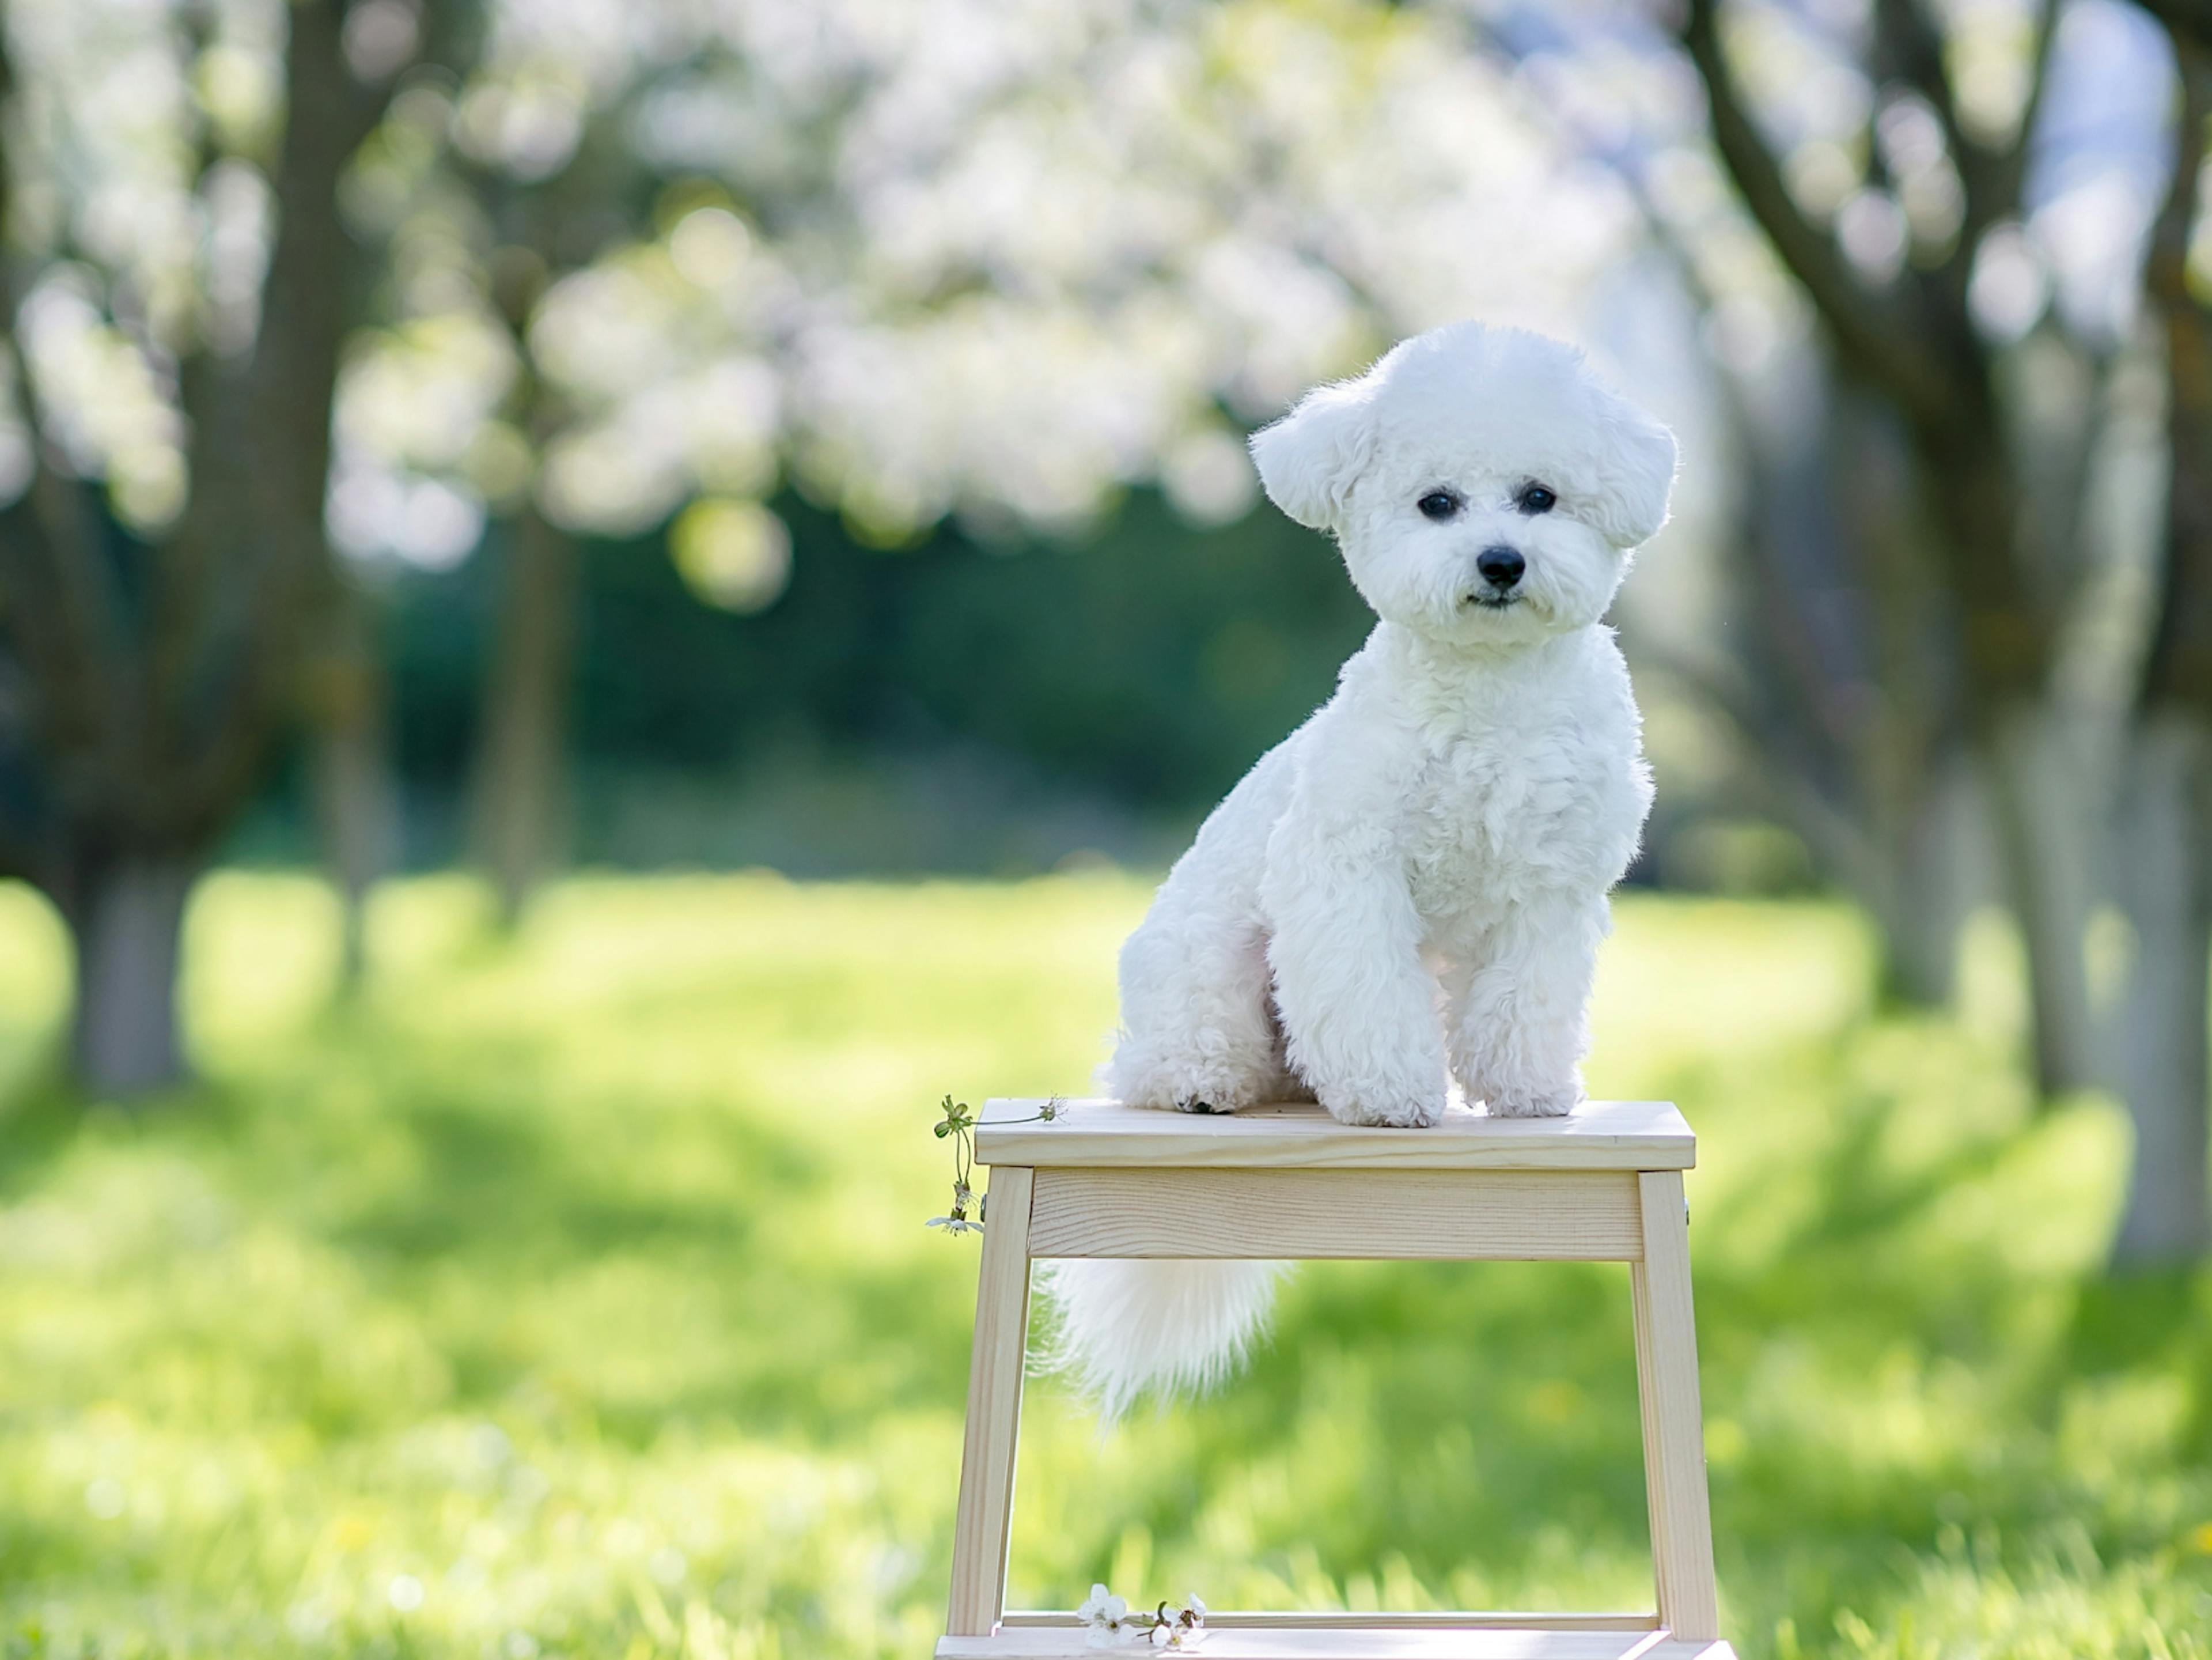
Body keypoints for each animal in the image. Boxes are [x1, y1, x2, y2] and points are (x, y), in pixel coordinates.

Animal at [1044, 319, 1663, 1408]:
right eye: (1437, 503)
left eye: (1541, 497)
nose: (1501, 560)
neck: (1489, 695)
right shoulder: (1346, 871)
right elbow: (1369, 998)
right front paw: (1389, 1097)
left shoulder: (1551, 889)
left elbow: (1527, 1002)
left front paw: (1527, 1089)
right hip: (1204, 965)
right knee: (1157, 1063)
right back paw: (1203, 1084)